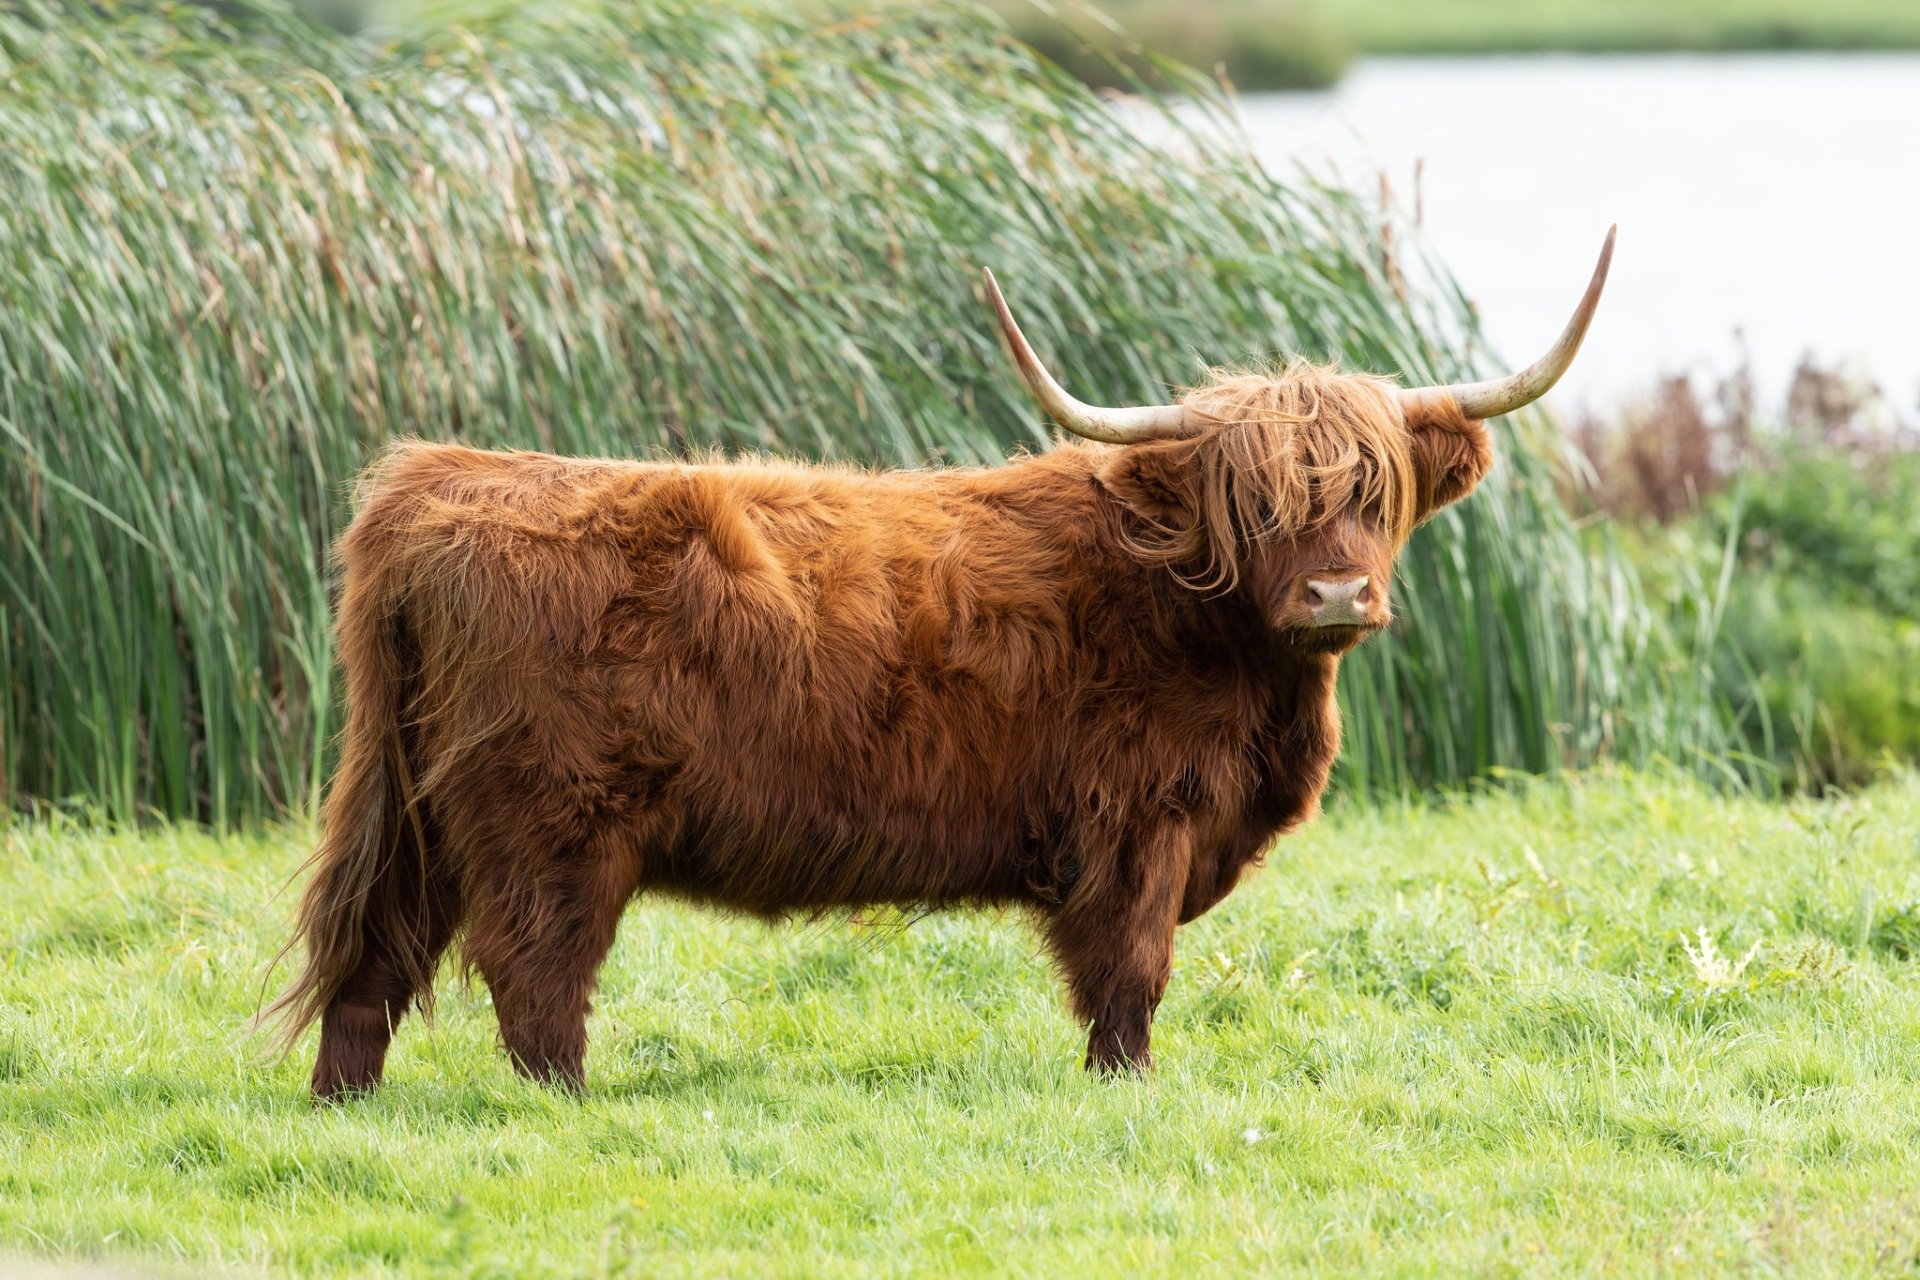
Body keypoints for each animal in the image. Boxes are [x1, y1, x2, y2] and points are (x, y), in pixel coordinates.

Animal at [273, 229, 1614, 1098]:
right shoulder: (1137, 823)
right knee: (532, 974)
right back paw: (566, 1103)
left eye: (1377, 491)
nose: (1338, 593)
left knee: (373, 957)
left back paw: (348, 1105)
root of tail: (439, 476)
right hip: (552, 820)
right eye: (1253, 499)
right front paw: (1125, 1091)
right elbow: (1130, 973)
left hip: (420, 804)